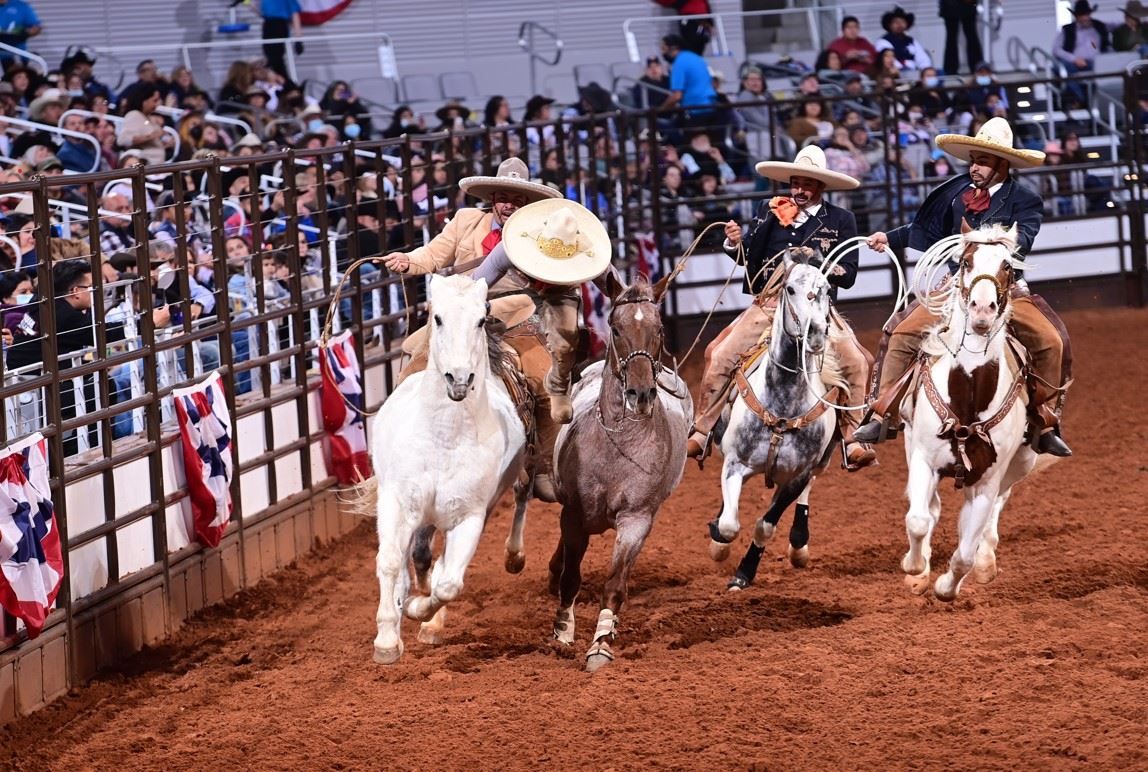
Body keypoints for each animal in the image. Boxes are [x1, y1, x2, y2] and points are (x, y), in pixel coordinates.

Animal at [369, 273, 525, 661]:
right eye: (436, 317)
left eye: (481, 320)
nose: (459, 378)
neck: (443, 438)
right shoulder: (397, 504)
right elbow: (390, 561)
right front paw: (386, 639)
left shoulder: (470, 516)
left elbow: (449, 583)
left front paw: (420, 612)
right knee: (410, 559)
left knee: (435, 564)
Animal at [546, 274, 688, 670]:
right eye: (616, 327)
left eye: (659, 329)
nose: (641, 394)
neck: (617, 444)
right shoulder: (573, 514)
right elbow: (571, 578)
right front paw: (562, 635)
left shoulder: (636, 520)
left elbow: (614, 585)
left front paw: (600, 645)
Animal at [702, 250, 849, 588]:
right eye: (790, 289)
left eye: (827, 290)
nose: (817, 333)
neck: (783, 404)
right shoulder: (734, 463)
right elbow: (729, 525)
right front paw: (719, 543)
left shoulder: (798, 476)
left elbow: (765, 525)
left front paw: (744, 572)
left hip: (817, 463)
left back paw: (799, 544)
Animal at [900, 222, 1046, 601]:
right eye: (966, 261)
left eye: (1007, 266)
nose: (982, 309)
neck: (967, 399)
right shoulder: (923, 457)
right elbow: (918, 520)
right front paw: (915, 569)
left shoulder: (989, 479)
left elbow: (965, 552)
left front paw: (946, 587)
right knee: (930, 510)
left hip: (1020, 463)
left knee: (992, 513)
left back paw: (985, 561)